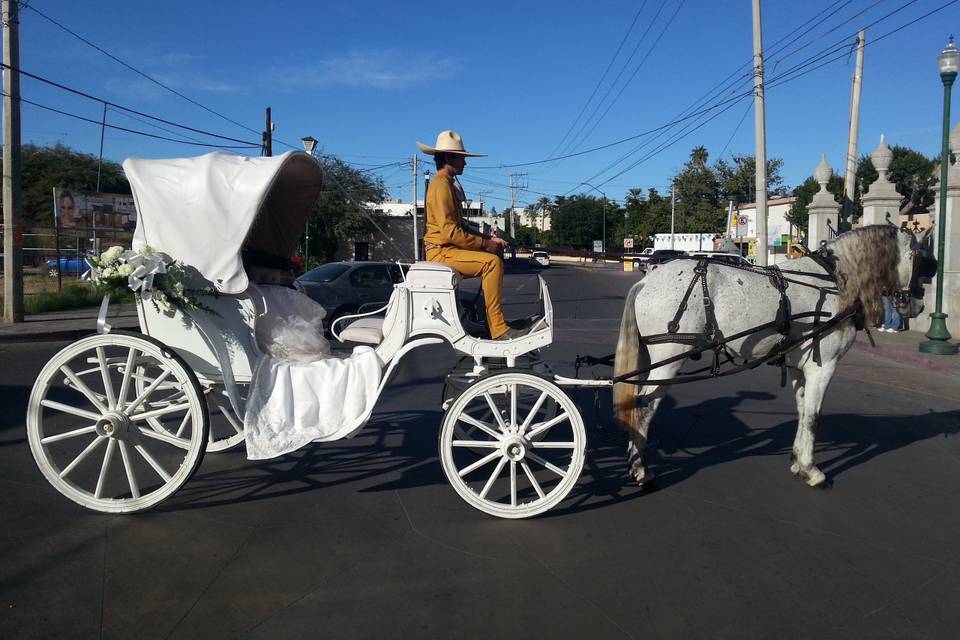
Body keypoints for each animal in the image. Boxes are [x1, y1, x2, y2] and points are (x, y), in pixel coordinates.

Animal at [612, 225, 932, 484]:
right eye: (919, 257)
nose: (918, 306)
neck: (834, 281)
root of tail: (646, 282)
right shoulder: (824, 365)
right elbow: (814, 416)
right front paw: (812, 471)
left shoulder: (800, 366)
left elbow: (803, 411)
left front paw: (799, 463)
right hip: (669, 358)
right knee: (643, 407)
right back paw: (641, 470)